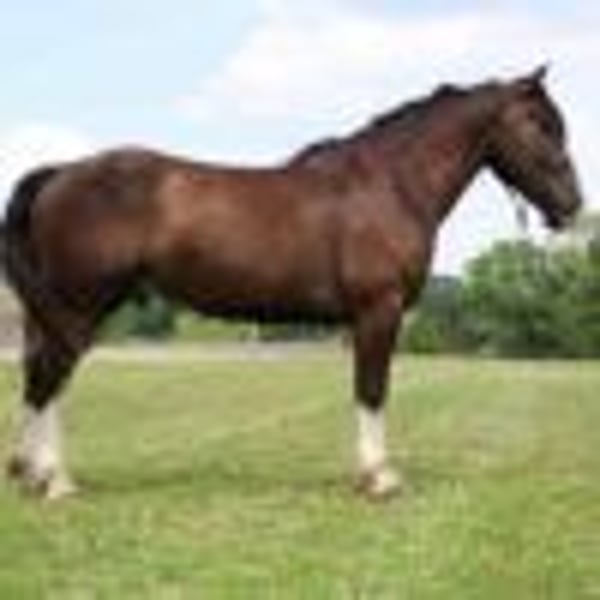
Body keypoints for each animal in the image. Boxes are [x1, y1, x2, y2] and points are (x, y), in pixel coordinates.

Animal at [2, 67, 583, 500]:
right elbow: (372, 390)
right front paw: (380, 478)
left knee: (38, 377)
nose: (572, 206)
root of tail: (59, 173)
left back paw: (33, 473)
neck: (390, 183)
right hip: (78, 307)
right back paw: (56, 481)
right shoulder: (379, 310)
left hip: (53, 311)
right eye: (541, 124)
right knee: (50, 378)